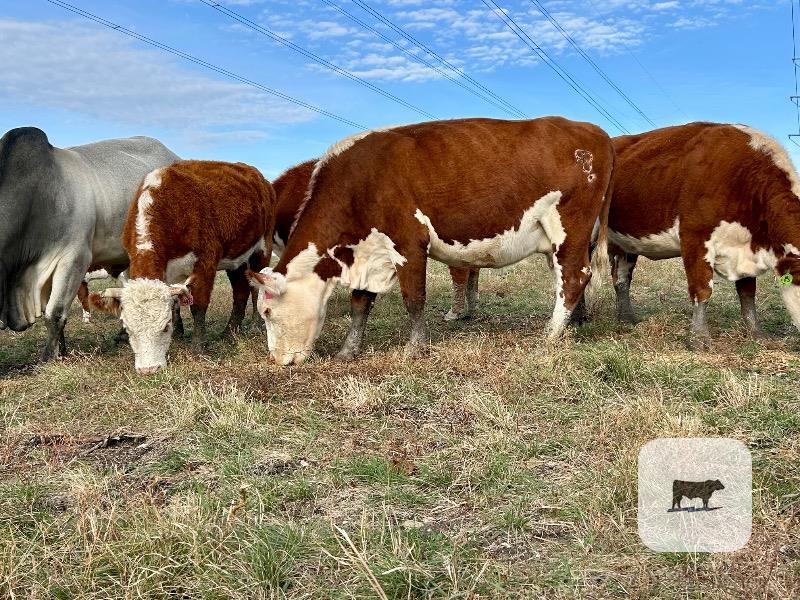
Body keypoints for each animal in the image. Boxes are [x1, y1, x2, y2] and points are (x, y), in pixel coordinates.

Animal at [89, 160, 276, 374]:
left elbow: (198, 306)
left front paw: (198, 347)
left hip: (263, 247)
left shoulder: (205, 262)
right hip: (236, 257)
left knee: (256, 287)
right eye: (128, 329)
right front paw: (179, 335)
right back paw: (230, 331)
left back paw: (256, 325)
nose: (148, 369)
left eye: (164, 326)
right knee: (240, 291)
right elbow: (176, 303)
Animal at [608, 123, 800, 348]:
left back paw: (626, 319)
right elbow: (702, 289)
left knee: (621, 279)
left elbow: (747, 293)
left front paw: (756, 332)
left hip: (623, 244)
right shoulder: (695, 237)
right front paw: (699, 338)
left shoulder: (745, 248)